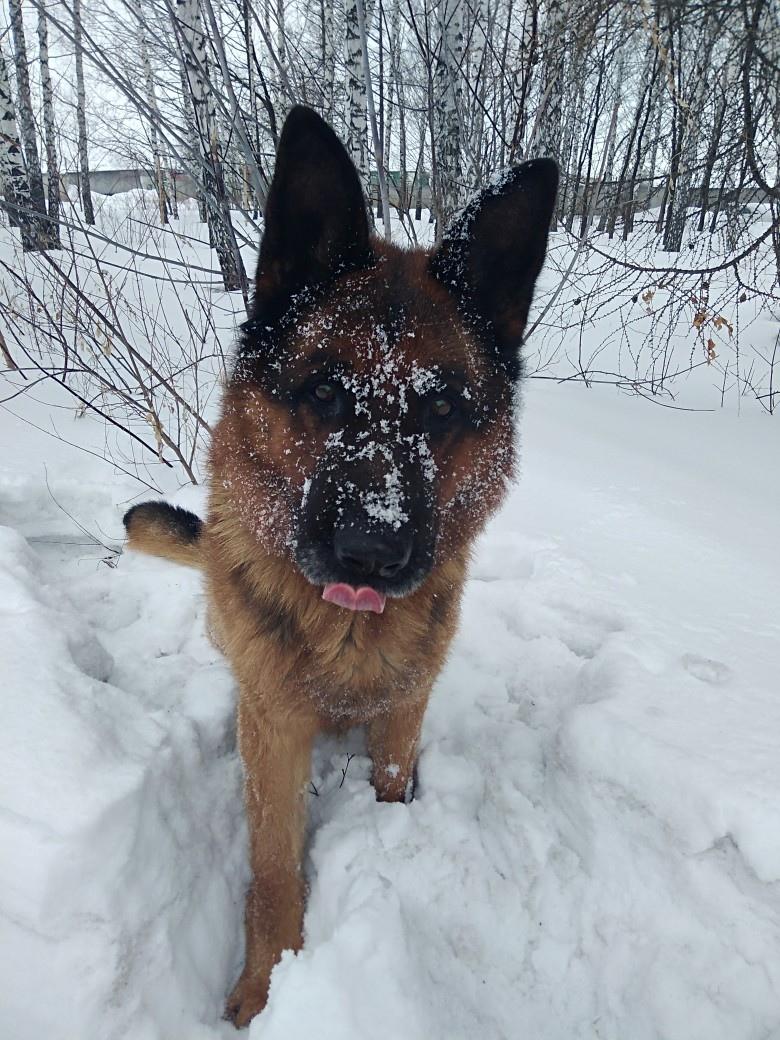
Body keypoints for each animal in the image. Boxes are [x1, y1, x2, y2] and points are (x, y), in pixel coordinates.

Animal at [125, 105, 557, 1023]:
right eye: (323, 393)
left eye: (441, 410)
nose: (371, 549)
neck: (346, 637)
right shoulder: (275, 730)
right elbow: (272, 870)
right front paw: (264, 987)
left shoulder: (402, 711)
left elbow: (391, 782)